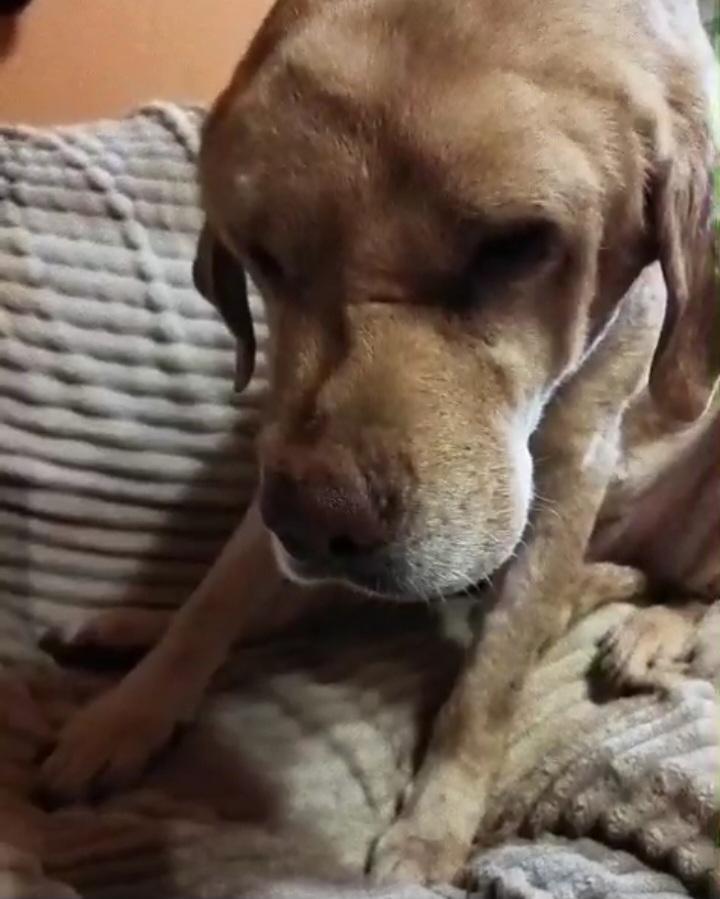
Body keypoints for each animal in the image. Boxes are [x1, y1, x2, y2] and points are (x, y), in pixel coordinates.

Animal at [40, 0, 718, 885]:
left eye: (516, 245)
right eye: (261, 255)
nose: (313, 523)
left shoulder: (577, 458)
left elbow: (491, 682)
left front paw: (434, 824)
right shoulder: (289, 434)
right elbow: (216, 597)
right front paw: (129, 711)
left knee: (674, 590)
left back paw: (651, 628)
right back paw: (128, 628)